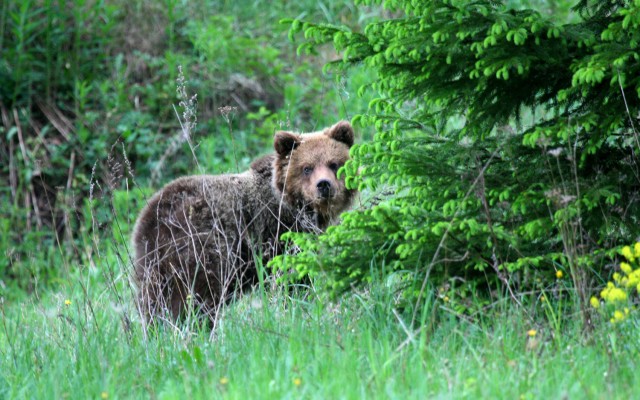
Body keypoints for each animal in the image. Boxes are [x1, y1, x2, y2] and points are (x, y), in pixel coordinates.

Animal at [133, 120, 358, 324]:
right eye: (307, 168)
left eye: (334, 164)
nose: (324, 185)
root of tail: (151, 216)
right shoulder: (276, 233)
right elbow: (292, 278)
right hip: (201, 247)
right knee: (196, 296)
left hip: (154, 263)